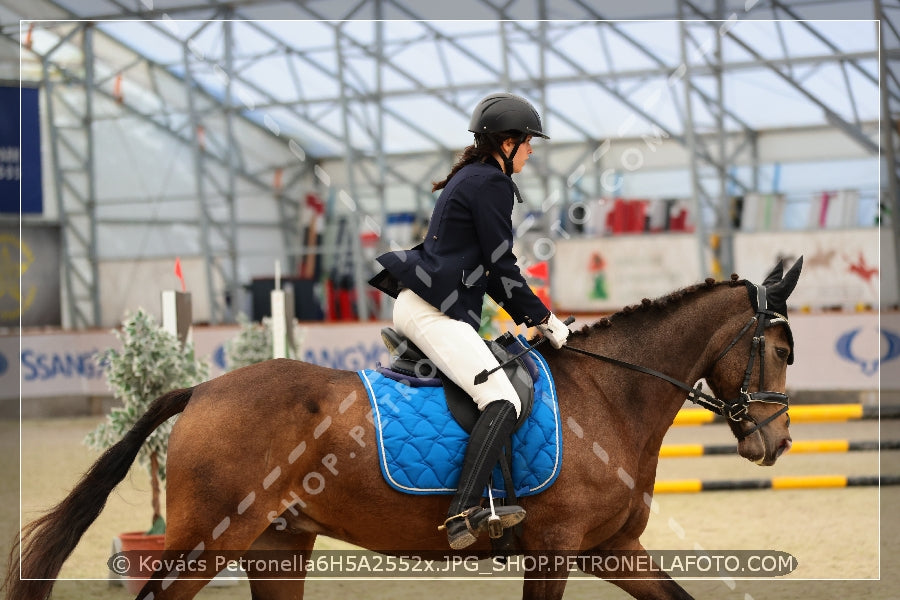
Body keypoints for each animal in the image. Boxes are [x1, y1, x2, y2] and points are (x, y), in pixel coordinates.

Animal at [1, 258, 800, 600]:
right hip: (208, 542)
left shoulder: (611, 549)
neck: (612, 393)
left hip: (275, 547)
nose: (777, 443)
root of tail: (202, 389)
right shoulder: (555, 551)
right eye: (783, 350)